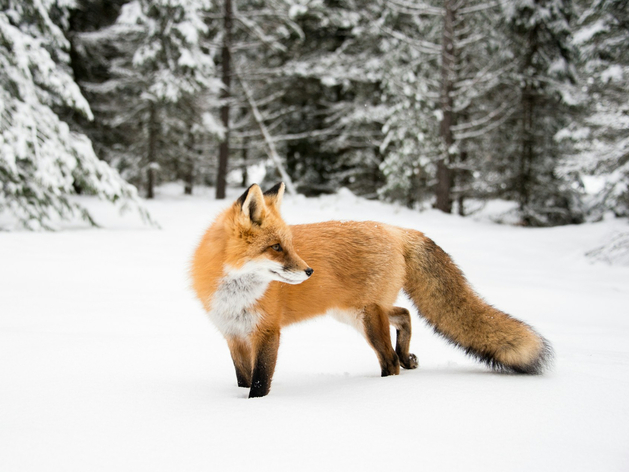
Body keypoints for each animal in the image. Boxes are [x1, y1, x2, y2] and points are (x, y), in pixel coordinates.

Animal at [190, 183, 548, 396]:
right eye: (276, 247)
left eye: (289, 245)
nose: (309, 271)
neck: (236, 295)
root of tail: (395, 229)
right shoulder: (234, 335)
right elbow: (243, 378)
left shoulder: (267, 332)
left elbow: (260, 382)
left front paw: (255, 409)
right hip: (354, 312)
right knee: (404, 314)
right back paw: (407, 357)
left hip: (366, 317)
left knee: (389, 359)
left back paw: (383, 387)